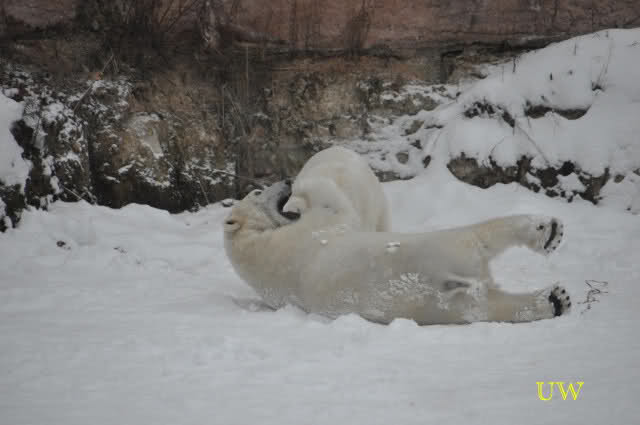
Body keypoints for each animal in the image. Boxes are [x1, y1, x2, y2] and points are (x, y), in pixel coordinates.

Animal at [224, 181, 571, 325]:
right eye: (257, 191)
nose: (284, 182)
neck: (255, 249)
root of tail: (443, 279)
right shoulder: (309, 232)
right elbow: (333, 203)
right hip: (440, 251)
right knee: (479, 240)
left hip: (438, 306)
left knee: (487, 305)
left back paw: (553, 296)